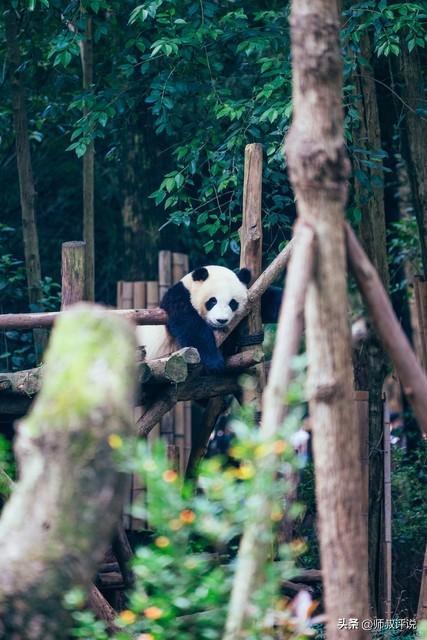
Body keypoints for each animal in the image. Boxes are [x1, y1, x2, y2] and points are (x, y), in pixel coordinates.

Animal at [137, 264, 282, 372]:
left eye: (233, 303)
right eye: (212, 301)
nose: (221, 320)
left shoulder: (253, 297)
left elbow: (269, 302)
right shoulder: (178, 299)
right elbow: (191, 326)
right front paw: (214, 361)